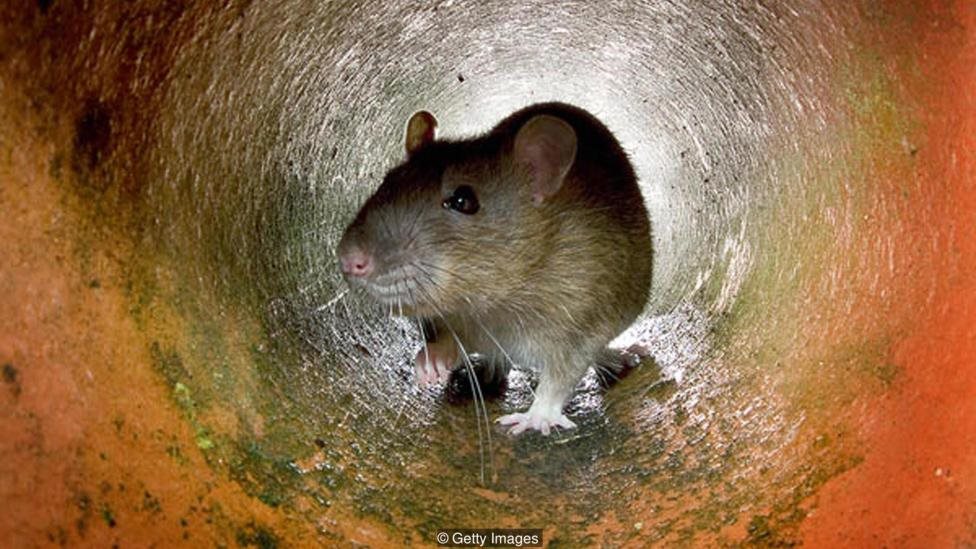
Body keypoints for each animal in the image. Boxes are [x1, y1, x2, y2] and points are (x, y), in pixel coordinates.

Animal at [337, 102, 652, 435]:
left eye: (463, 200)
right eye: (387, 180)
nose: (350, 259)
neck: (497, 302)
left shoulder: (585, 308)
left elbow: (567, 368)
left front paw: (539, 415)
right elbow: (454, 339)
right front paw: (433, 357)